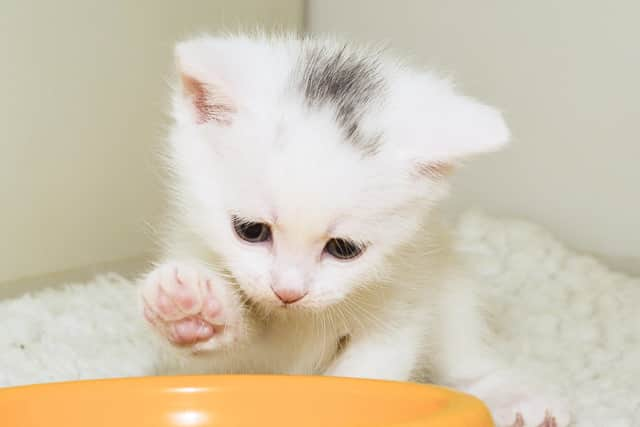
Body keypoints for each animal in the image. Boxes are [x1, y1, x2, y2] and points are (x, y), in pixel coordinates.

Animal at [140, 34, 568, 427]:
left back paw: (514, 398)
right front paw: (191, 310)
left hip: (450, 289)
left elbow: (367, 375)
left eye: (343, 248)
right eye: (251, 230)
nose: (288, 292)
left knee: (464, 356)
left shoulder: (401, 299)